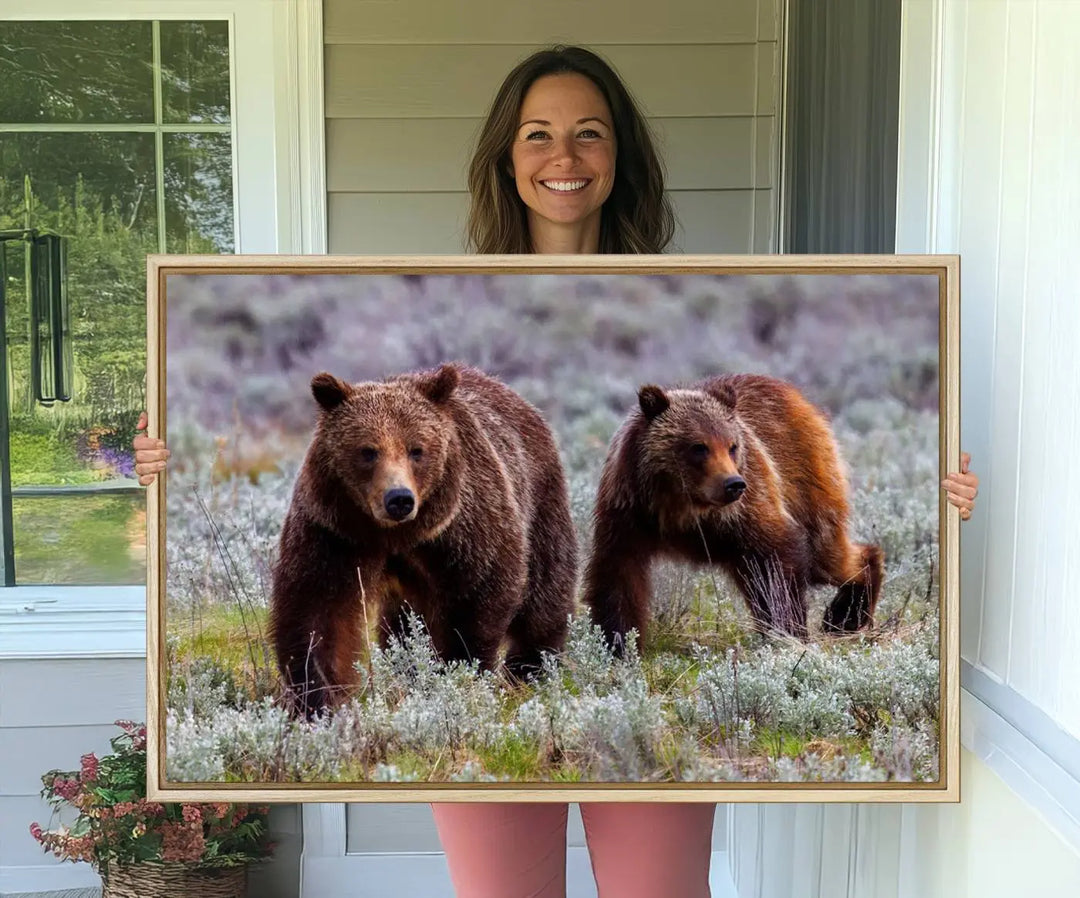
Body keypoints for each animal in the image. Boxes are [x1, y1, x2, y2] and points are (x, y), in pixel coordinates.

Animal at [268, 360, 578, 721]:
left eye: (416, 449)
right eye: (368, 451)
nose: (399, 499)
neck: (397, 535)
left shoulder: (463, 530)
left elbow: (477, 599)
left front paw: (456, 674)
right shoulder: (334, 532)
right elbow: (318, 612)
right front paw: (318, 700)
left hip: (541, 501)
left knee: (545, 595)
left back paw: (528, 669)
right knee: (400, 625)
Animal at [587, 371, 881, 652]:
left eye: (732, 445)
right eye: (699, 446)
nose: (733, 484)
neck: (682, 507)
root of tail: (797, 396)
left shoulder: (747, 509)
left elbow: (777, 561)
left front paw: (787, 631)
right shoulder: (628, 511)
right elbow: (619, 576)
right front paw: (617, 643)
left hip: (806, 477)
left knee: (827, 553)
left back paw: (846, 613)